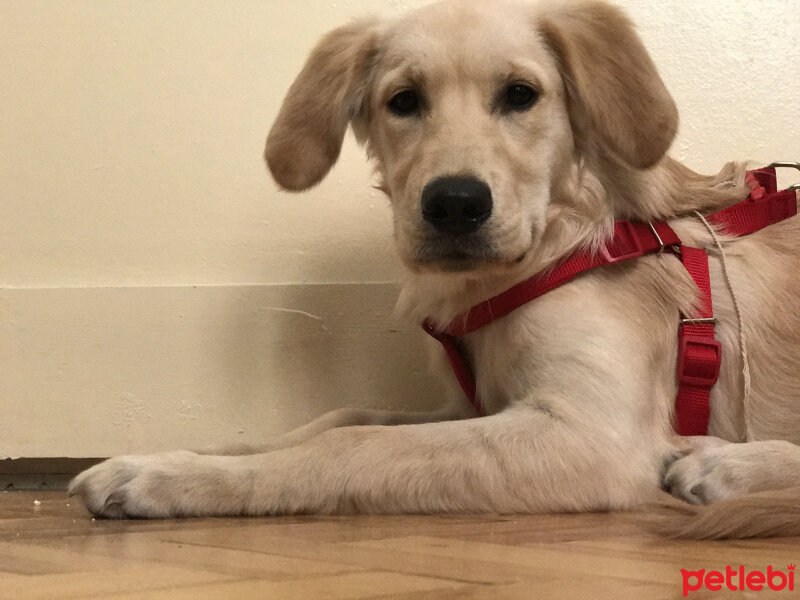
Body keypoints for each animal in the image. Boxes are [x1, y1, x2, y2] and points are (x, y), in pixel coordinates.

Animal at [70, 0, 800, 540]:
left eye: (521, 95)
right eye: (403, 101)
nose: (454, 204)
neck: (545, 249)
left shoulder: (591, 435)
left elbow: (352, 446)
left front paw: (168, 481)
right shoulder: (465, 405)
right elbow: (334, 420)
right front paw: (169, 461)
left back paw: (726, 465)